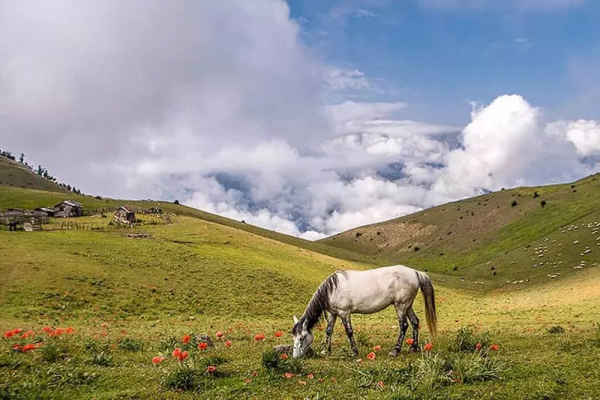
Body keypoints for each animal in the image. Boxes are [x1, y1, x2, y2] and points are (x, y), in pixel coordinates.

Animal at [290, 266, 436, 360]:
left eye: (302, 338)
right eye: (294, 337)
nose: (295, 357)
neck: (332, 289)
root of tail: (415, 272)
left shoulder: (344, 313)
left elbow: (349, 332)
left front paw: (354, 352)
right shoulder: (333, 313)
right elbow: (328, 330)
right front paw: (326, 350)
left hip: (401, 306)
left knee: (404, 326)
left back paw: (395, 351)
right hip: (408, 306)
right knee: (415, 322)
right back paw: (414, 348)